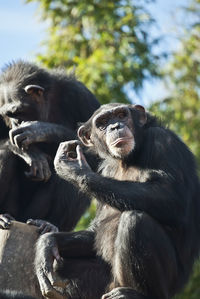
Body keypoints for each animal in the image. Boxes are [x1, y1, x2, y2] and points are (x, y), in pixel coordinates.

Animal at [34, 103, 200, 299]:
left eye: (122, 115)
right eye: (103, 122)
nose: (115, 126)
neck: (126, 159)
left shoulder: (164, 142)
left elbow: (172, 197)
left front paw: (75, 169)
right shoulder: (106, 169)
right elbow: (96, 229)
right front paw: (47, 244)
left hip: (168, 285)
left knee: (136, 221)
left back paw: (136, 294)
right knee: (62, 264)